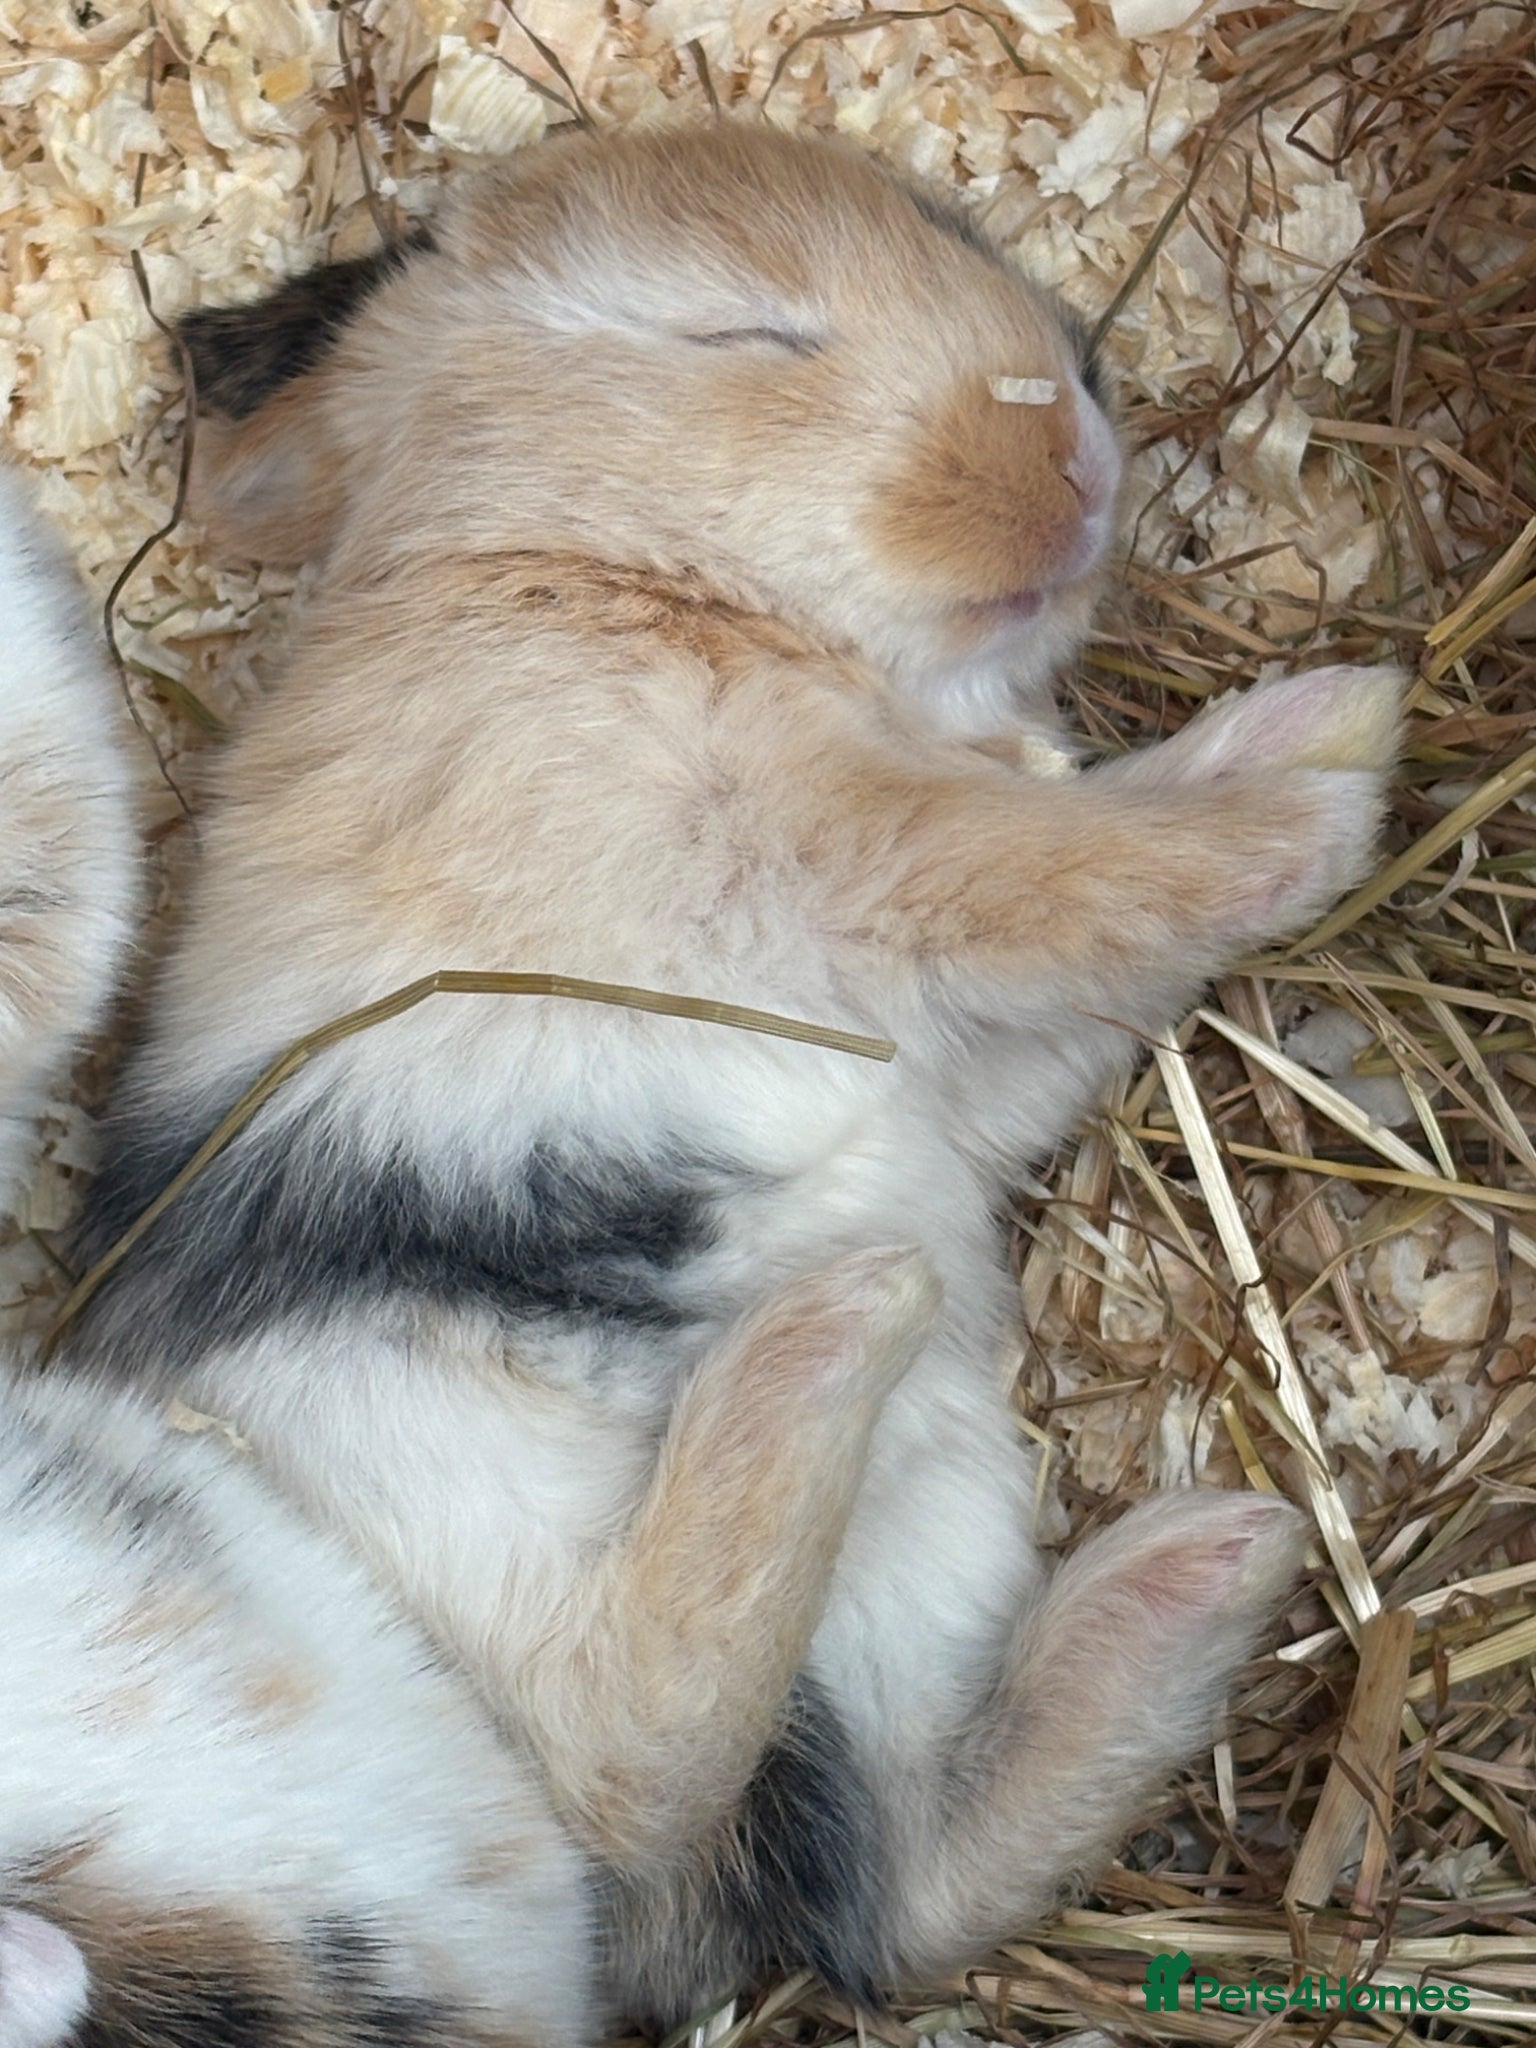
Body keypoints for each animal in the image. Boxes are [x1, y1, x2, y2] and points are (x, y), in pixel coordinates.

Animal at [54, 122, 1401, 2020]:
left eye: (940, 226)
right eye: (738, 335)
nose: (1073, 454)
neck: (617, 574)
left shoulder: (967, 1048)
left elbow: (1087, 951)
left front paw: (1305, 724)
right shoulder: (849, 835)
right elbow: (1070, 861)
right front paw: (1337, 766)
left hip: (905, 1598)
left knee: (907, 1882)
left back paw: (1212, 1557)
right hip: (435, 1471)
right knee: (633, 1737)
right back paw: (844, 1332)